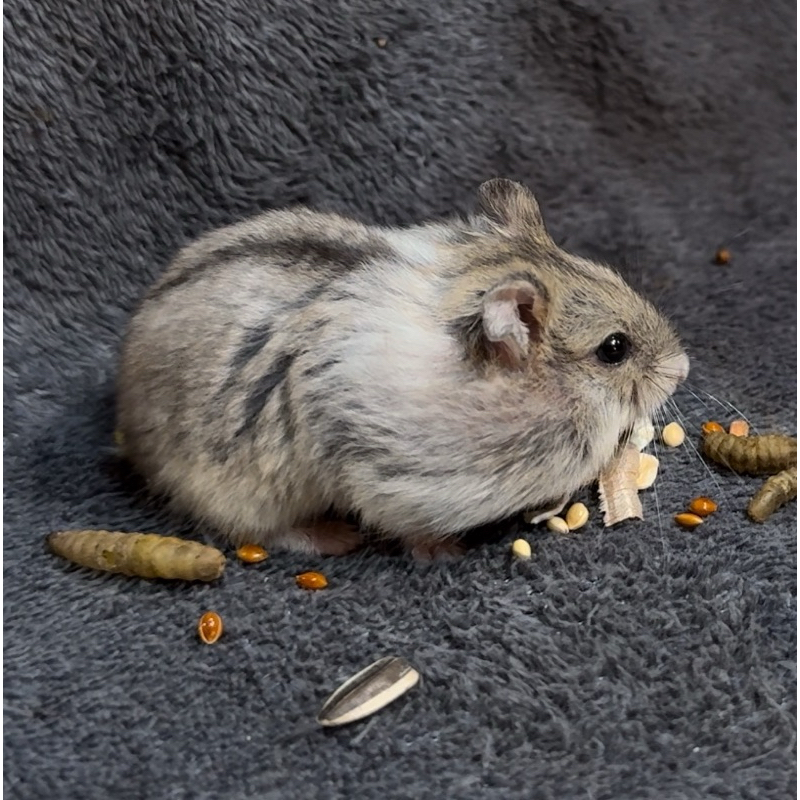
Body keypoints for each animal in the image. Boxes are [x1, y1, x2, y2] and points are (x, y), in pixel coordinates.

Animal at [116, 179, 689, 559]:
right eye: (614, 348)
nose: (683, 367)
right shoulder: (396, 484)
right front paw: (446, 551)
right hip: (243, 492)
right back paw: (336, 538)